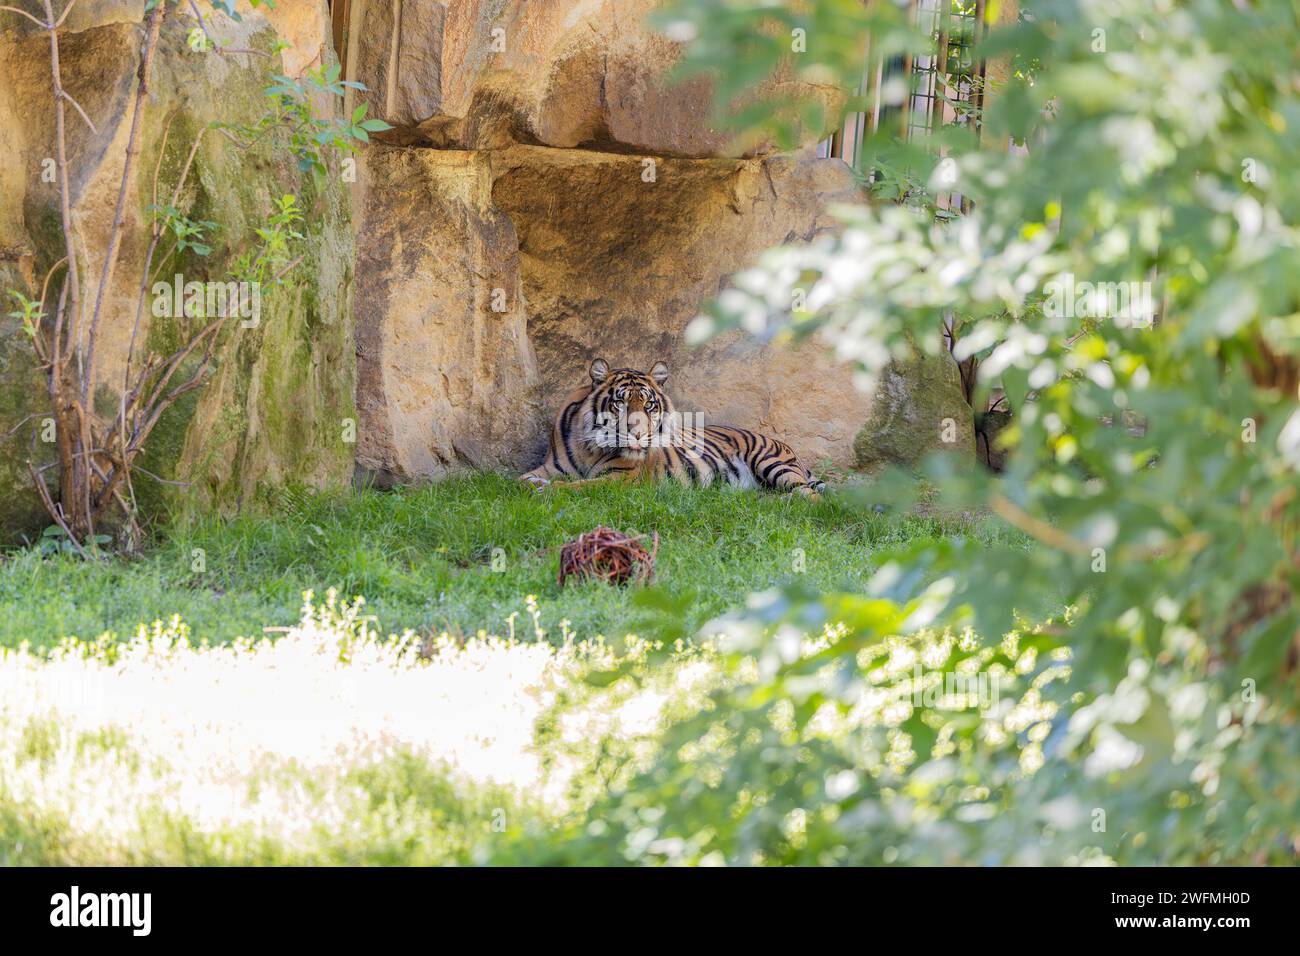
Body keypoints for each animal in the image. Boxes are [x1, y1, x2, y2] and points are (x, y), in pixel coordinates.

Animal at [517, 356, 821, 496]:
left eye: (649, 405)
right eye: (620, 403)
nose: (638, 433)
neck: (589, 448)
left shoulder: (620, 479)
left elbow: (578, 486)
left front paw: (548, 490)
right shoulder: (549, 468)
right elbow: (520, 481)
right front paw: (535, 486)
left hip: (771, 461)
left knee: (809, 496)